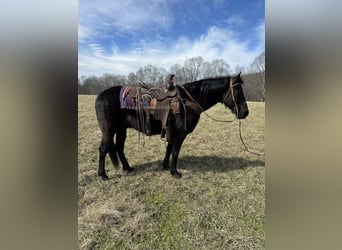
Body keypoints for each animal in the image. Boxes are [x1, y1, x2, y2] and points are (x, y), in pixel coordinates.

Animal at [95, 73, 248, 180]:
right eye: (238, 91)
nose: (245, 112)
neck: (188, 100)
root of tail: (100, 96)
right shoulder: (180, 134)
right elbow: (175, 151)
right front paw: (174, 172)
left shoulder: (171, 132)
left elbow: (169, 149)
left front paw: (165, 166)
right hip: (108, 131)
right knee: (103, 149)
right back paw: (103, 175)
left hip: (121, 129)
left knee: (119, 148)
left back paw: (127, 168)